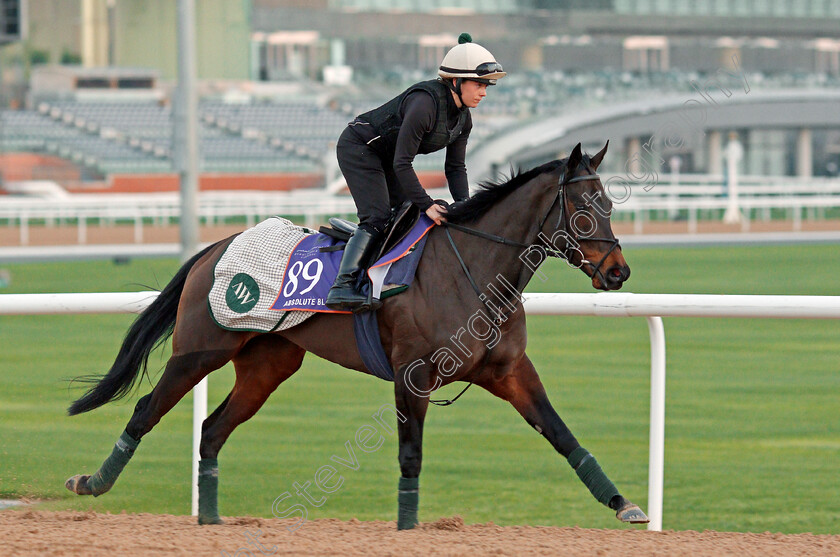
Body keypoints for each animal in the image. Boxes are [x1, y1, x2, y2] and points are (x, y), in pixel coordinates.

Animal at [65, 141, 648, 528]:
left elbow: (563, 435)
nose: (618, 271)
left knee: (211, 430)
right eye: (583, 207)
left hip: (267, 365)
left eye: (609, 204)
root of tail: (214, 247)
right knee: (147, 410)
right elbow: (411, 455)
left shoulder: (510, 373)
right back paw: (92, 482)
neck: (474, 270)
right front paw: (407, 527)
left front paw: (623, 504)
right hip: (199, 351)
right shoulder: (413, 375)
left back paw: (209, 519)